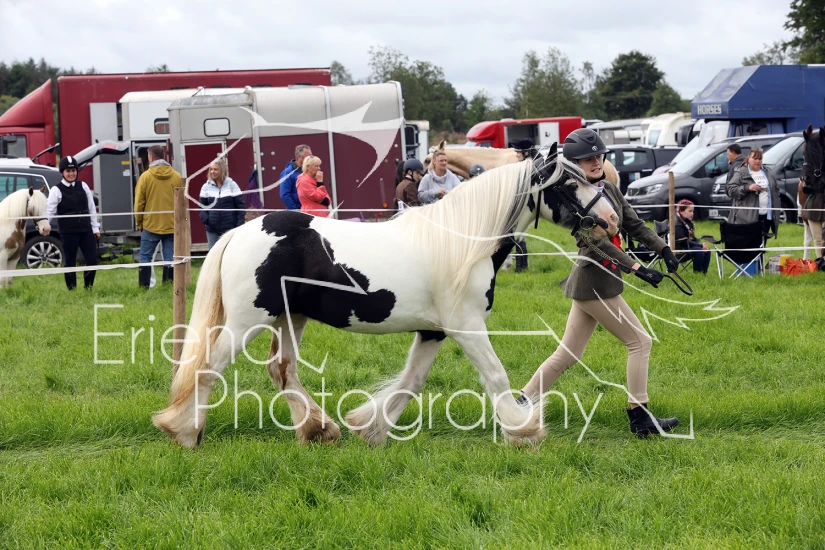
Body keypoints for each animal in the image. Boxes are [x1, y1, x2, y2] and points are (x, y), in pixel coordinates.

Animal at [153, 143, 620, 449]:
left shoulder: (434, 332)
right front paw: (524, 431)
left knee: (282, 370)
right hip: (246, 321)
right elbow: (496, 376)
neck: (463, 242)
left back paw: (318, 430)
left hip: (290, 318)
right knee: (209, 368)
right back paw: (187, 433)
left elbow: (410, 382)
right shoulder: (466, 327)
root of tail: (238, 232)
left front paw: (371, 429)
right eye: (569, 182)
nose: (611, 218)